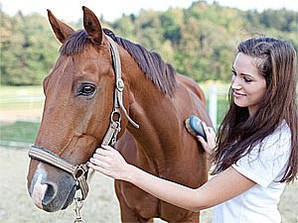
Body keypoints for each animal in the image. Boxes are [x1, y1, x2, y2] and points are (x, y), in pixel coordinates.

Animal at [26, 6, 212, 222]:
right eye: (45, 85)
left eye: (87, 88)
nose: (39, 187)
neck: (165, 152)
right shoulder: (129, 211)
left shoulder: (189, 215)